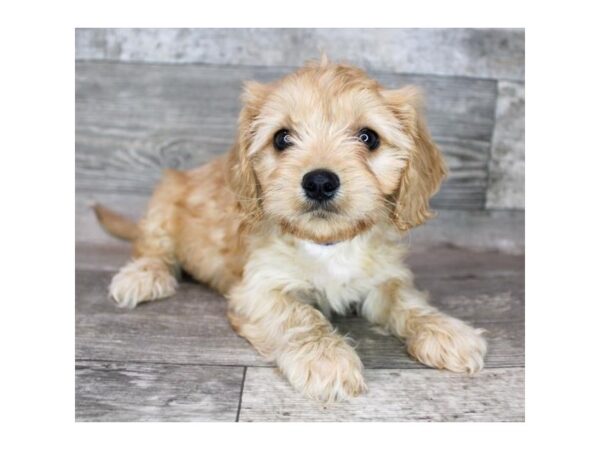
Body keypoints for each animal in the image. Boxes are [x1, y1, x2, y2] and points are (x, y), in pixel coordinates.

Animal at [95, 57, 488, 400]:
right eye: (282, 138)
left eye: (368, 137)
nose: (319, 182)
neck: (328, 244)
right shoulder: (258, 288)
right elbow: (300, 316)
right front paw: (326, 357)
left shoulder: (383, 279)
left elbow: (408, 302)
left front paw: (447, 331)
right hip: (163, 204)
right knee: (153, 248)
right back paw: (143, 275)